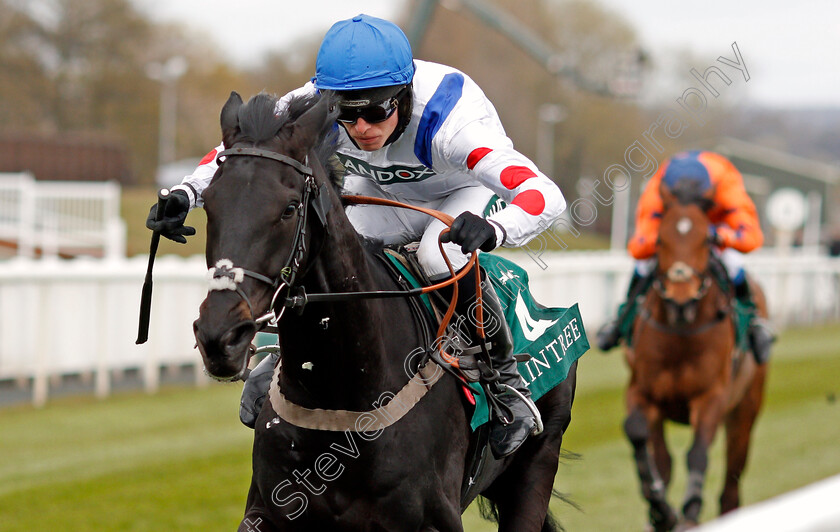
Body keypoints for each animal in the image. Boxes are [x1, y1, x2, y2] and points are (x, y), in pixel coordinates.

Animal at [192, 89, 576, 528]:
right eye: (211, 204)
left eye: (289, 208)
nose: (220, 336)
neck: (339, 395)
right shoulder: (267, 511)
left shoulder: (433, 518)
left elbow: (537, 189)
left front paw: (478, 230)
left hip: (537, 462)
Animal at [624, 181, 768, 528]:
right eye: (660, 240)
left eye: (706, 239)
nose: (681, 301)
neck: (680, 338)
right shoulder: (642, 390)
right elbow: (636, 432)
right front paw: (659, 506)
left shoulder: (712, 396)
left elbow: (698, 454)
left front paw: (689, 508)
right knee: (663, 459)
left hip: (745, 408)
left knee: (731, 484)